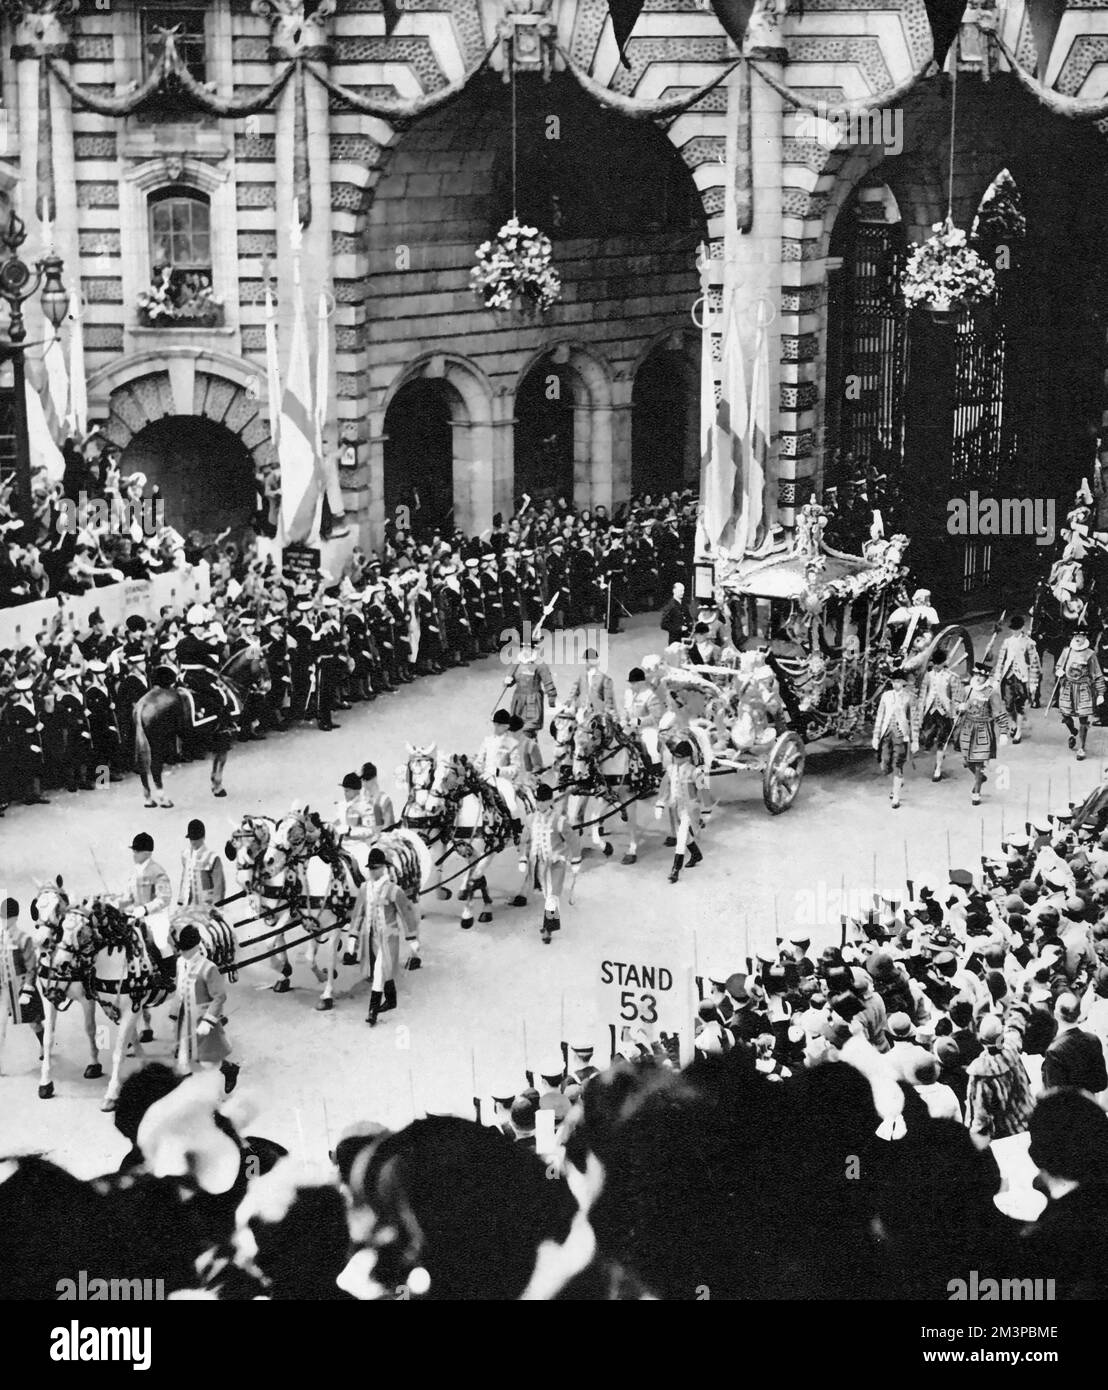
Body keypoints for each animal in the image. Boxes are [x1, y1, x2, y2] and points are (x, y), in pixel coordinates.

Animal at [132, 644, 271, 811]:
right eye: (263, 661)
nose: (267, 686)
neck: (230, 684)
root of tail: (143, 703)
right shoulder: (225, 734)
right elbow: (221, 759)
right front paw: (218, 787)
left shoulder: (217, 735)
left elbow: (217, 759)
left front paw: (214, 786)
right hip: (160, 742)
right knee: (155, 767)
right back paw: (164, 799)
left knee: (143, 768)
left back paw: (148, 799)